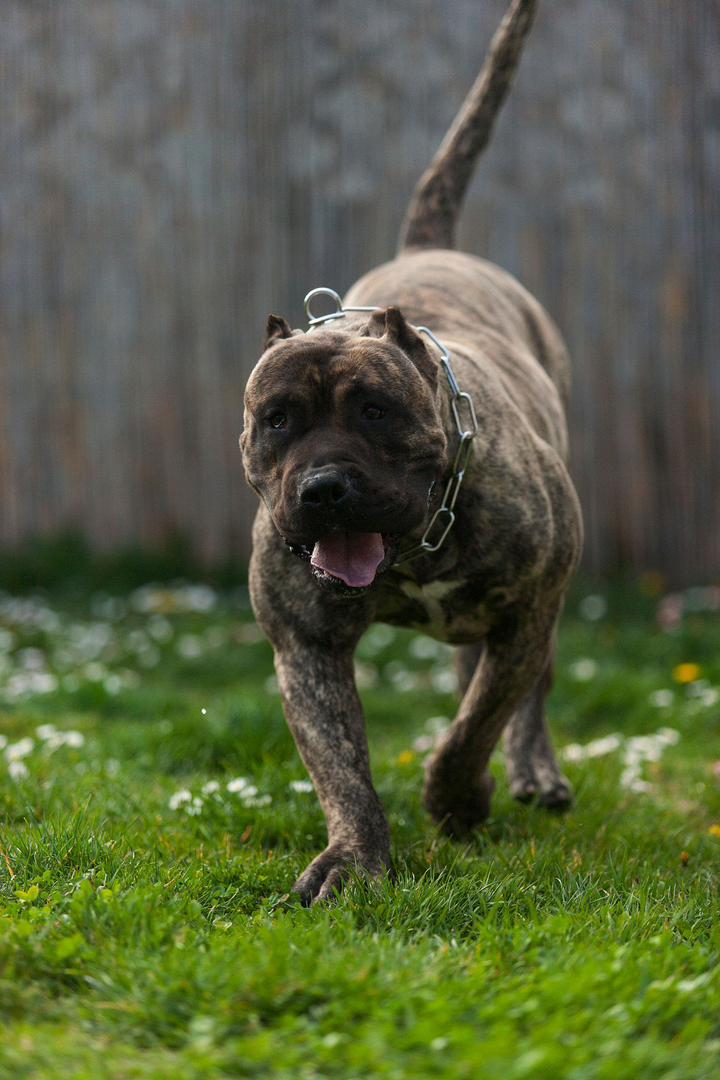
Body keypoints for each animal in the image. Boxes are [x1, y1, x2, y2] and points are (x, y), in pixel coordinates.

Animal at [239, 0, 582, 902]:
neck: (418, 547)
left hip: (543, 607)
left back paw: (533, 772)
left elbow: (476, 725)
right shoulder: (307, 648)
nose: (324, 488)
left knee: (526, 693)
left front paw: (458, 798)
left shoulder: (528, 609)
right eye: (276, 420)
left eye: (377, 411)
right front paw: (355, 859)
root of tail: (430, 246)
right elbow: (341, 765)